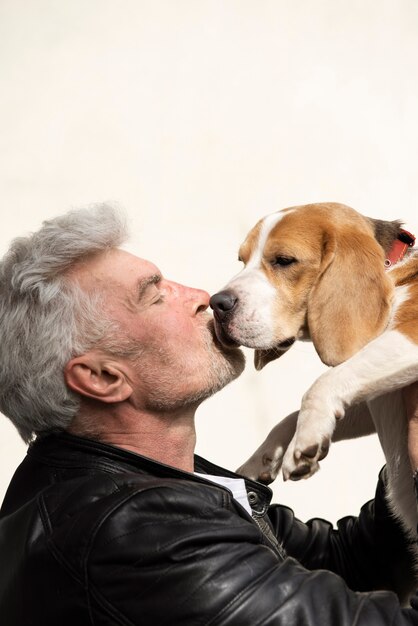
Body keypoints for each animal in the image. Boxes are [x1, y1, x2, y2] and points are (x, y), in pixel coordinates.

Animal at [211, 204, 418, 540]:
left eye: (284, 260)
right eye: (242, 260)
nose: (216, 303)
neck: (393, 272)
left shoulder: (409, 338)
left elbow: (322, 383)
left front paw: (304, 440)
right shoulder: (373, 398)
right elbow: (291, 416)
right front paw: (261, 459)